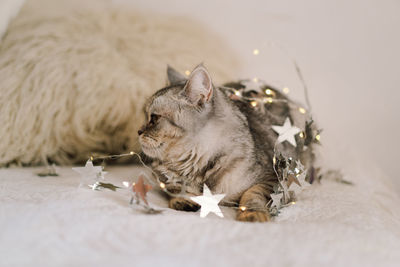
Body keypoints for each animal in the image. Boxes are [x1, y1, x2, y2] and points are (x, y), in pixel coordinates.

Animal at [138, 63, 316, 223]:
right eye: (146, 116)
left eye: (154, 118)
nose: (138, 131)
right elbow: (177, 190)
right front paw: (185, 199)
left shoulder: (277, 179)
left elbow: (253, 193)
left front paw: (252, 214)